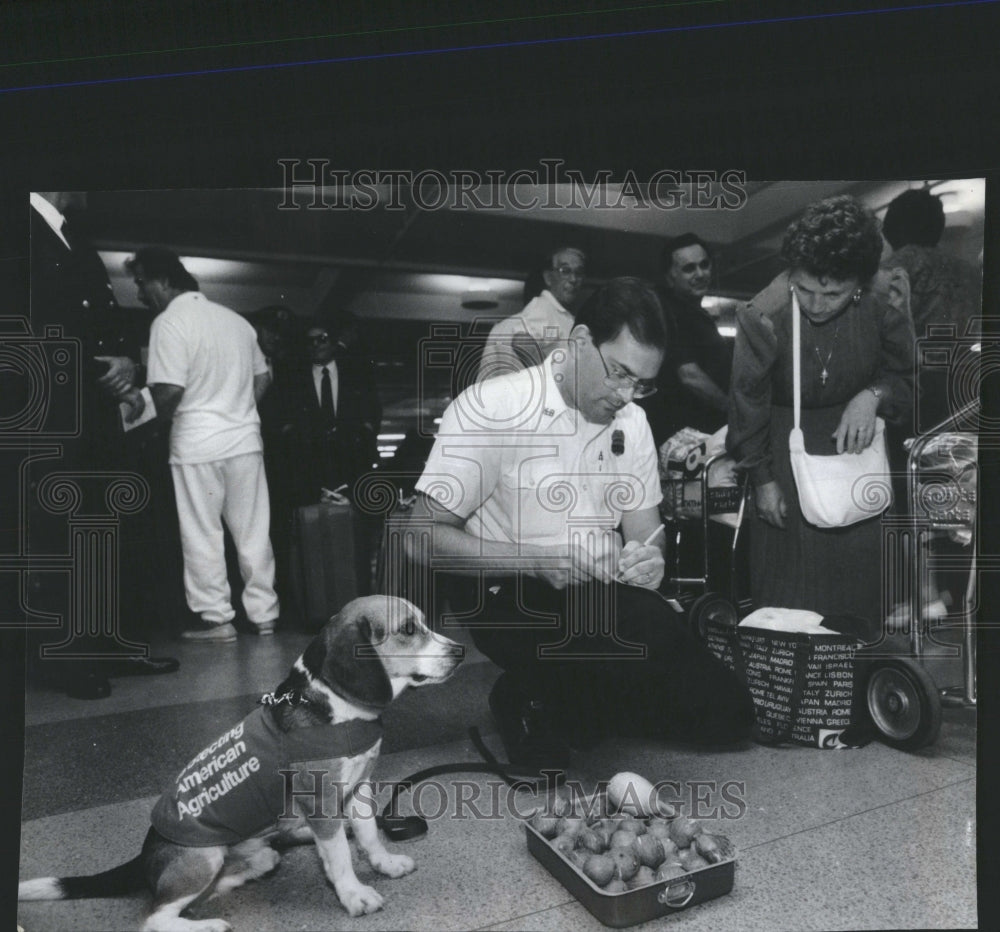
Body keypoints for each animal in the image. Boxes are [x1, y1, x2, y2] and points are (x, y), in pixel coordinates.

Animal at [19, 596, 464, 932]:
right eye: (408, 629)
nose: (460, 652)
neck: (338, 709)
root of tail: (147, 854)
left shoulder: (358, 789)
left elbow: (369, 833)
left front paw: (384, 863)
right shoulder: (322, 803)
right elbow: (337, 855)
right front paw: (353, 894)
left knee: (246, 868)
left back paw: (268, 855)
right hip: (203, 858)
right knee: (155, 918)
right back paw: (207, 925)